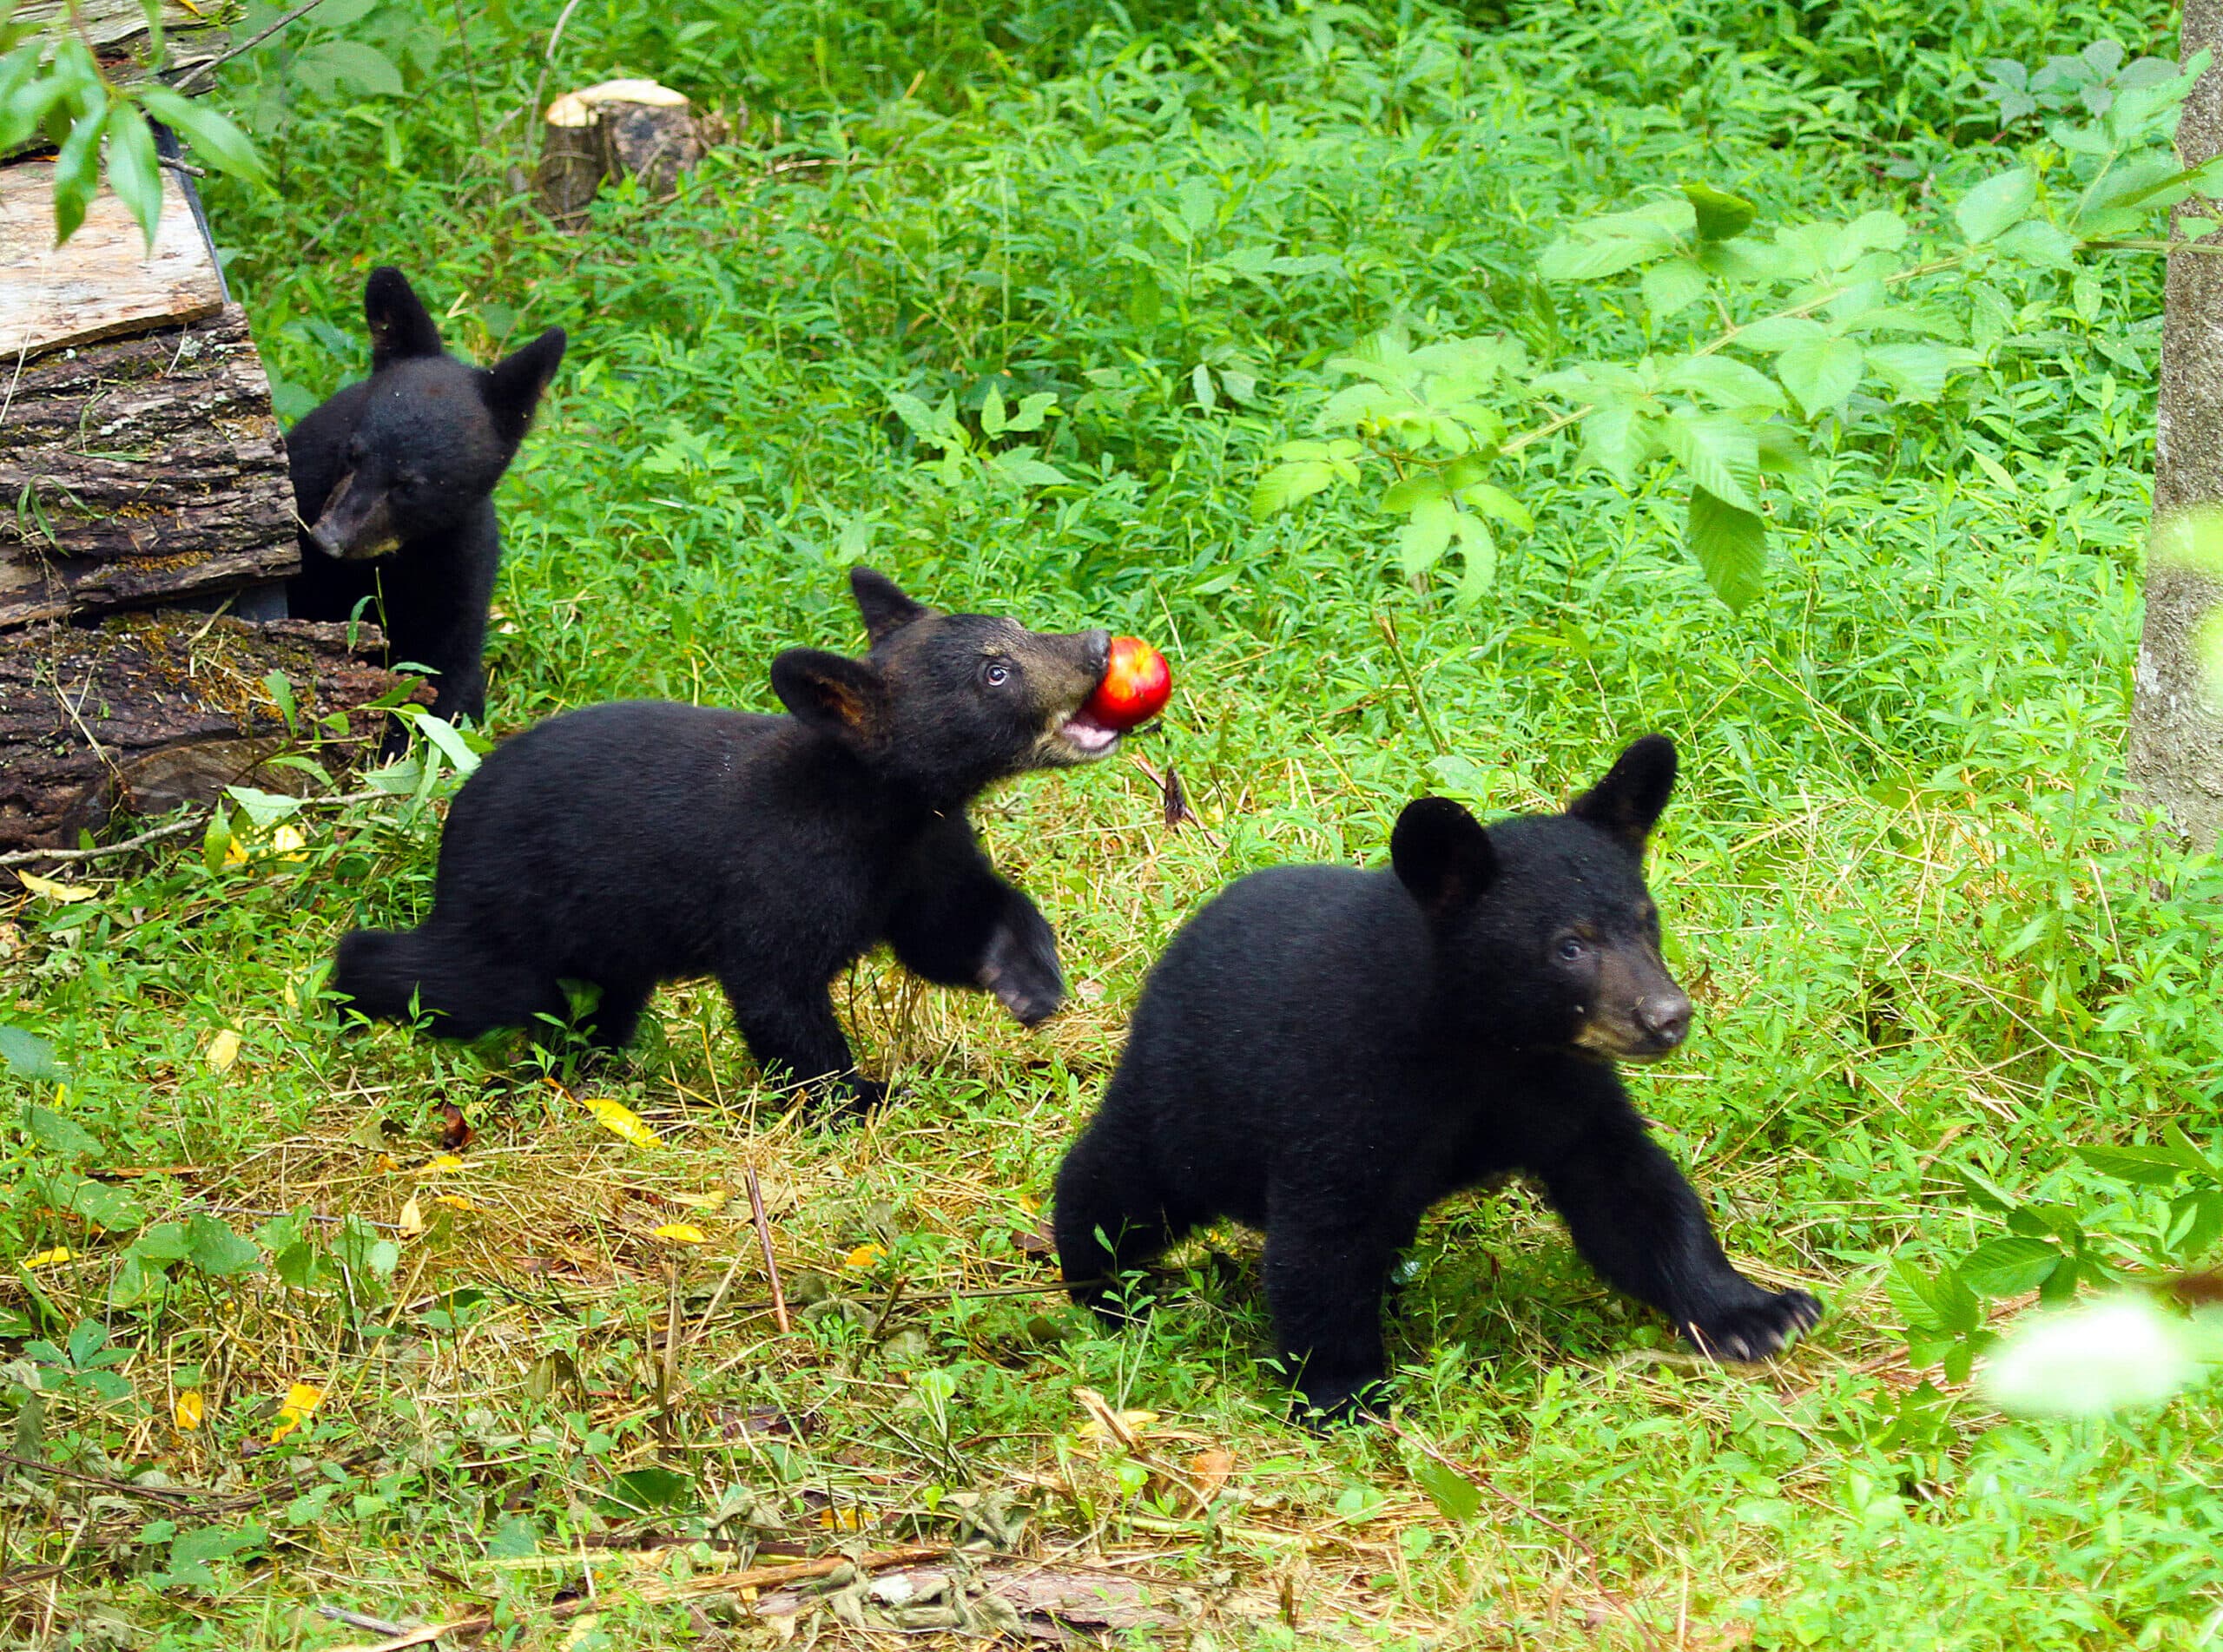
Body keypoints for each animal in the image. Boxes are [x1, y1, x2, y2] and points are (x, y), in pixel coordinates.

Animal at [284, 266, 566, 740]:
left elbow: (441, 667)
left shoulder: (459, 564)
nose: (328, 538)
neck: (389, 560)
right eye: (353, 452)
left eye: (410, 485)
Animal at [331, 567, 1130, 1115]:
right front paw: (858, 1095)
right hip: (513, 910)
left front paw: (1029, 976)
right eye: (995, 672)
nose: (1098, 646)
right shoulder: (779, 871)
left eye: (1017, 627)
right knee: (459, 979)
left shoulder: (923, 852)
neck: (878, 811)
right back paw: (346, 994)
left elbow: (948, 928)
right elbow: (775, 989)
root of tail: (457, 819)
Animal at [1053, 735, 1821, 1421]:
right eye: (1569, 946)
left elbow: (1632, 1192)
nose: (1668, 1016)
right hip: (1188, 1100)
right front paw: (1344, 1393)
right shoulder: (1340, 1081)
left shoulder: (1558, 1088)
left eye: (1645, 920)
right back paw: (1106, 1285)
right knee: (1119, 1181)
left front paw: (1760, 1312)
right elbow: (1322, 1237)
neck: (1480, 1042)